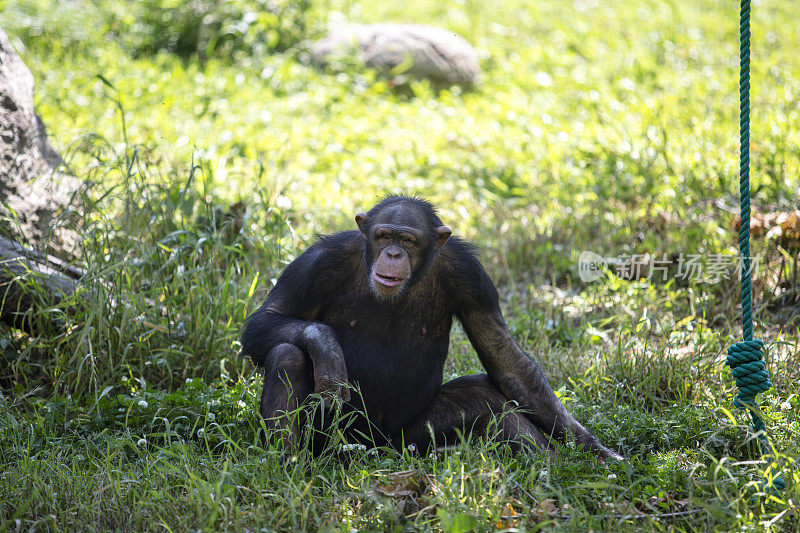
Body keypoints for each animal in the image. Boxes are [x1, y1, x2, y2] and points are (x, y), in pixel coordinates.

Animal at [241, 195, 620, 462]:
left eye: (408, 241)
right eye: (383, 236)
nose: (393, 253)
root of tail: (373, 452)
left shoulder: (471, 276)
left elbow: (506, 361)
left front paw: (595, 449)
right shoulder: (318, 262)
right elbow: (266, 320)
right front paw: (326, 347)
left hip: (408, 443)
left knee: (486, 400)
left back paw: (553, 473)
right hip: (334, 441)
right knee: (287, 355)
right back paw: (288, 467)